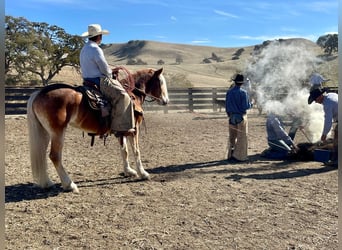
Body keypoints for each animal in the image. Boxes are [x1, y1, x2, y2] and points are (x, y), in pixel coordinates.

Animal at [27, 67, 170, 192]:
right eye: (161, 82)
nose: (166, 101)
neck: (133, 95)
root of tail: (38, 93)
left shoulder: (122, 130)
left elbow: (124, 151)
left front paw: (129, 171)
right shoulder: (134, 129)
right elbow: (136, 151)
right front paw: (143, 173)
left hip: (45, 132)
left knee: (42, 154)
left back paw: (47, 182)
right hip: (58, 132)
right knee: (55, 156)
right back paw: (69, 185)